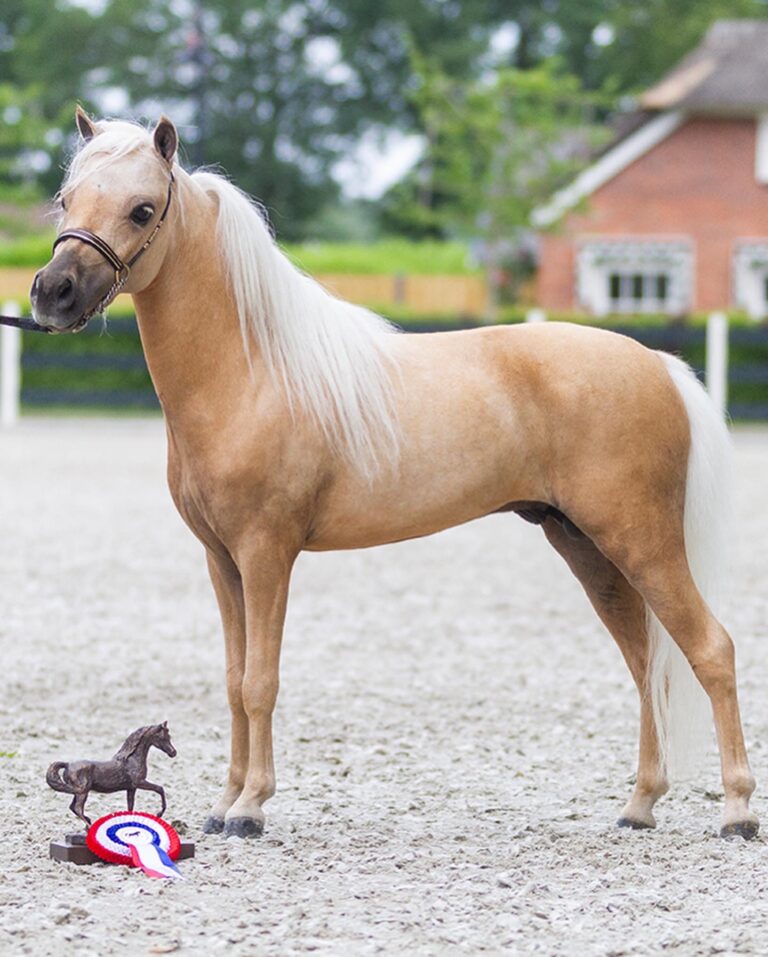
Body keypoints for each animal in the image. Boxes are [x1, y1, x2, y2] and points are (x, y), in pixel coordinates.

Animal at [30, 112, 756, 840]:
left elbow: (261, 682)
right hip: (588, 548)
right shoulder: (222, 559)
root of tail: (657, 362)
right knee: (647, 664)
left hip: (641, 543)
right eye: (66, 200)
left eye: (142, 208)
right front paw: (223, 803)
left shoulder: (266, 554)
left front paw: (251, 808)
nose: (51, 292)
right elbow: (235, 682)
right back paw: (640, 805)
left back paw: (737, 811)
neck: (252, 370)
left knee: (711, 649)